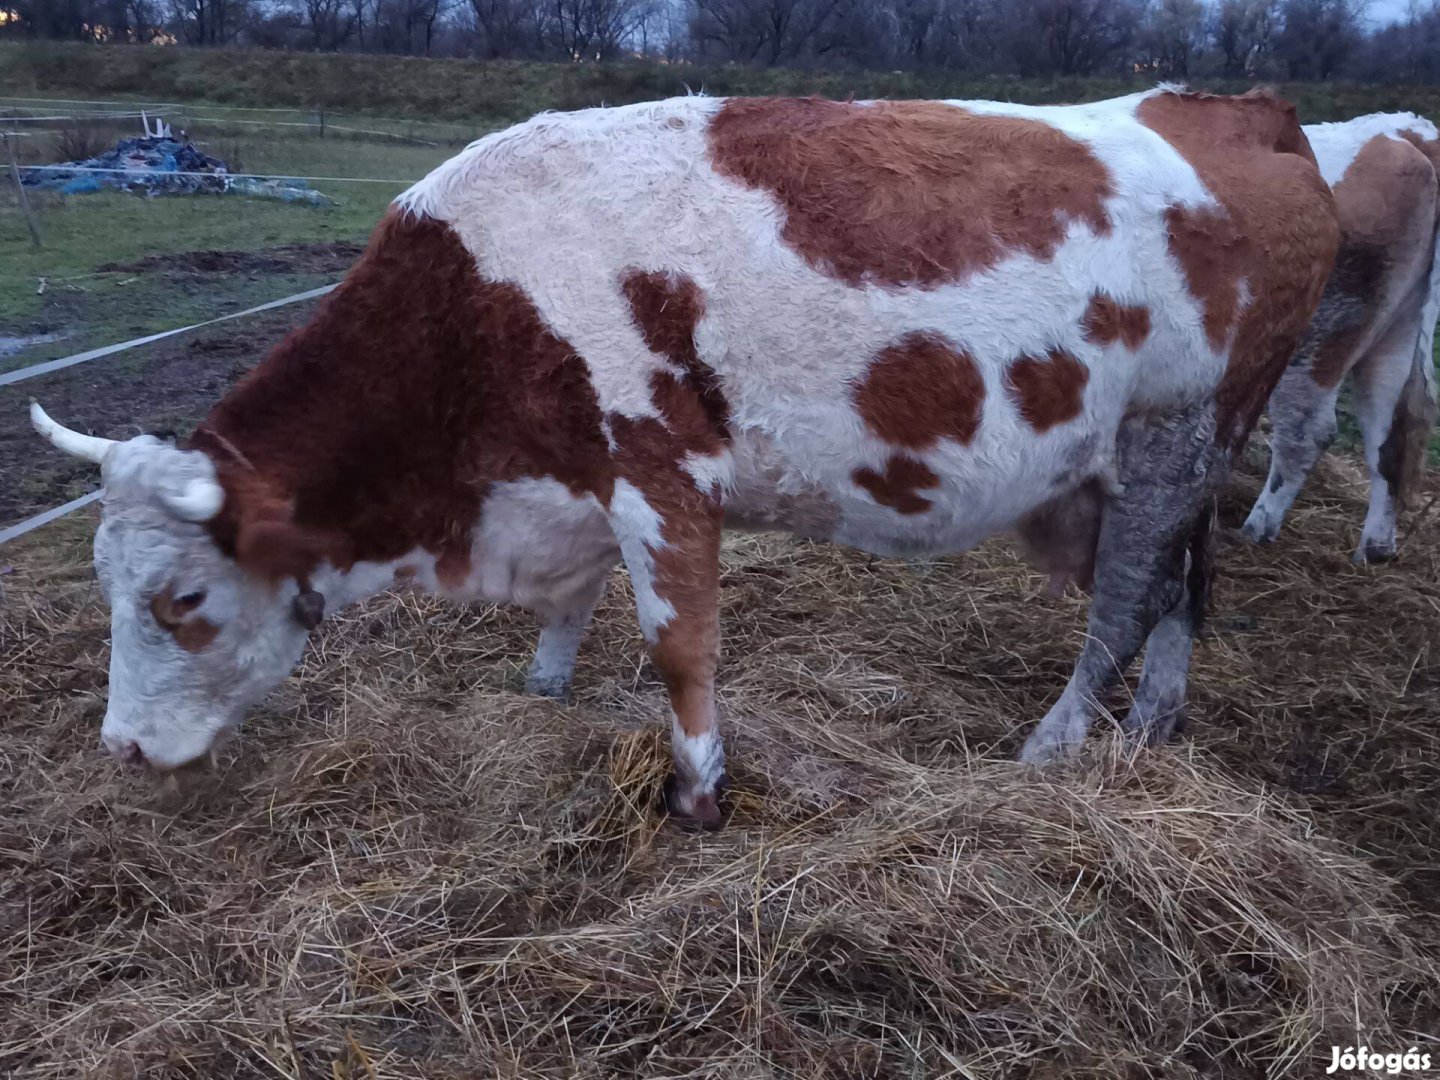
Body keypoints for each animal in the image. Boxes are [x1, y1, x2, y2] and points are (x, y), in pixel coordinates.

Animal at [33, 88, 1336, 829]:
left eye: (182, 596)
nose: (122, 749)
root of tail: (1239, 106)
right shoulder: (571, 486)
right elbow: (567, 617)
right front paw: (542, 698)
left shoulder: (658, 473)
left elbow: (679, 648)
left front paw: (700, 794)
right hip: (1159, 463)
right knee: (1185, 586)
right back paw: (1153, 730)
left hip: (1175, 431)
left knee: (1127, 600)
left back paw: (1056, 747)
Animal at [1238, 114, 1440, 561]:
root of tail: (1406, 133)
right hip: (1396, 332)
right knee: (1390, 431)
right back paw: (1375, 549)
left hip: (1321, 332)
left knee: (1306, 430)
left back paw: (1256, 530)